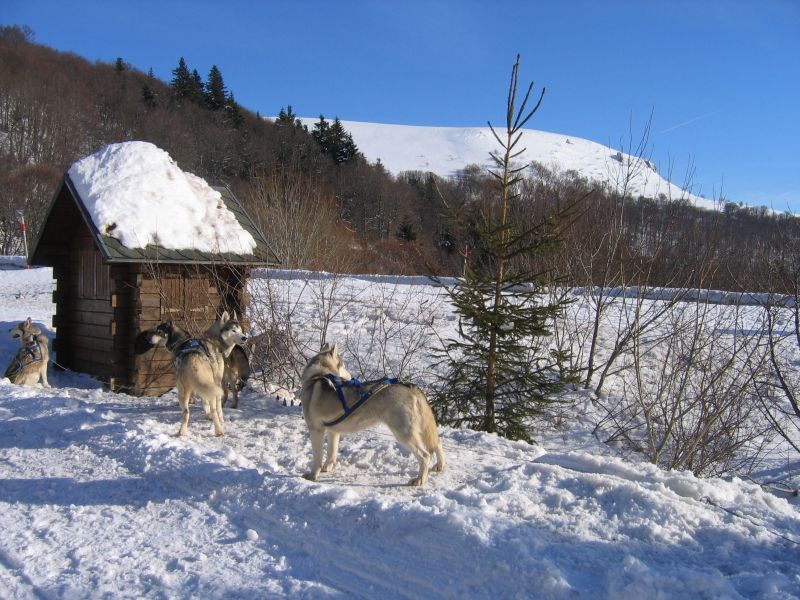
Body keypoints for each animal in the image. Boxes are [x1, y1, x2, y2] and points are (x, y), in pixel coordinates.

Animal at [298, 342, 444, 488]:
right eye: (343, 365)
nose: (351, 377)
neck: (316, 376)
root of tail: (411, 387)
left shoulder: (316, 430)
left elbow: (317, 457)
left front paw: (313, 475)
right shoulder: (333, 431)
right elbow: (331, 453)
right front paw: (327, 468)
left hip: (404, 434)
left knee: (425, 456)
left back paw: (420, 479)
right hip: (420, 429)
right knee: (437, 443)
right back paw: (440, 465)